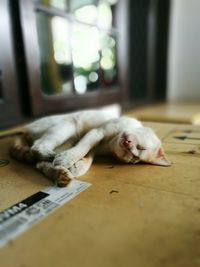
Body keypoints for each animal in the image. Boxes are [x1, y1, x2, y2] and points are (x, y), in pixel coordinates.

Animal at [10, 105, 170, 187]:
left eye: (133, 156)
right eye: (140, 148)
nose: (127, 144)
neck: (110, 143)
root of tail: (25, 130)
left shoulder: (94, 147)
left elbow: (85, 160)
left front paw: (75, 166)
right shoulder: (97, 132)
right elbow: (82, 149)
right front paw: (67, 160)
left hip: (70, 138)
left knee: (38, 161)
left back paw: (61, 174)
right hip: (68, 125)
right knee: (38, 147)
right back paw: (53, 158)